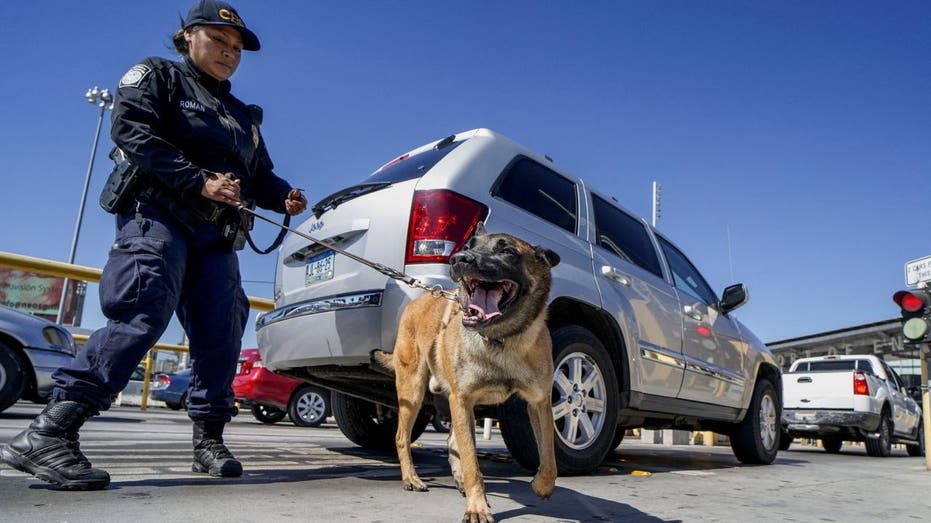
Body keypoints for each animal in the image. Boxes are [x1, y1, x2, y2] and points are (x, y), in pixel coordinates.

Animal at [376, 224, 560, 523]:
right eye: (468, 246)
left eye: (507, 251)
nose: (459, 259)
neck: (501, 339)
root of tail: (422, 297)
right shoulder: (462, 400)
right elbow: (473, 461)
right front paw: (477, 507)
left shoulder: (539, 402)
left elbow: (550, 456)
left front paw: (542, 485)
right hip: (412, 393)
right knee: (402, 437)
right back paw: (412, 478)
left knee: (452, 441)